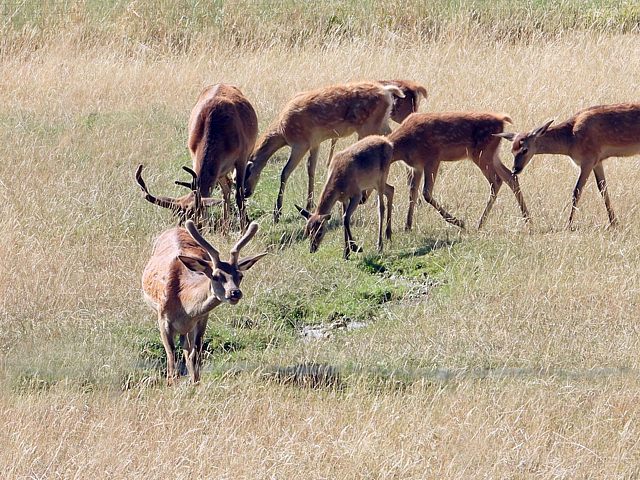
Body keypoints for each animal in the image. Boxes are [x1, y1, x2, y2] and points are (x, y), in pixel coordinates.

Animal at [136, 83, 258, 230]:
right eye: (177, 216)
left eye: (194, 215)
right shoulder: (194, 156)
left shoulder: (242, 157)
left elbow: (239, 195)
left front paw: (244, 227)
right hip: (221, 171)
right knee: (226, 188)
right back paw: (225, 225)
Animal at [143, 219, 268, 384]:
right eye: (215, 276)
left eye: (240, 276)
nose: (235, 292)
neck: (183, 305)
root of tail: (176, 228)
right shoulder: (162, 318)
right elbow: (171, 356)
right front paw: (171, 382)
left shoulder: (202, 318)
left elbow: (195, 354)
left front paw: (196, 382)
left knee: (187, 350)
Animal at [242, 79, 402, 222]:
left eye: (247, 173)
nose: (245, 193)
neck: (283, 131)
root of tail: (387, 91)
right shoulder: (315, 142)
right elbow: (310, 168)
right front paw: (309, 203)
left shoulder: (300, 143)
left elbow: (285, 172)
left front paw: (277, 213)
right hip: (381, 123)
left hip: (369, 126)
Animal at [390, 113, 528, 232]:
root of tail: (501, 119)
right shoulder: (416, 166)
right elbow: (412, 193)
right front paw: (407, 226)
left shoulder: (433, 158)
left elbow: (426, 193)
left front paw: (459, 222)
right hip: (492, 155)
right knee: (510, 176)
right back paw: (527, 220)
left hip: (481, 154)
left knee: (497, 181)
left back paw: (479, 224)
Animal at [496, 101, 640, 229]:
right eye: (512, 150)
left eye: (525, 149)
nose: (515, 169)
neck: (570, 140)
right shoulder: (598, 161)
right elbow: (602, 188)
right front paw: (614, 223)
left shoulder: (588, 160)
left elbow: (577, 191)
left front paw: (568, 224)